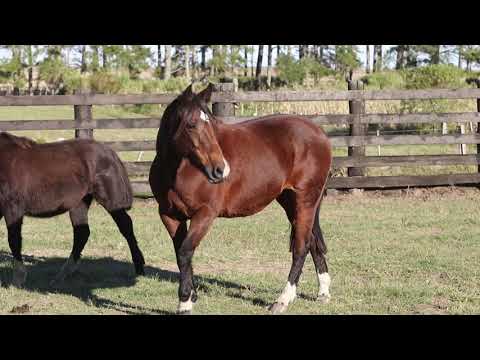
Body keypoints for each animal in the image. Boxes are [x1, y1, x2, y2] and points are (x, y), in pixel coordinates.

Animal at [0, 132, 145, 286]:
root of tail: (110, 152)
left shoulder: (12, 208)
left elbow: (14, 240)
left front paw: (18, 279)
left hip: (110, 202)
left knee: (126, 226)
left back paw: (139, 267)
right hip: (79, 203)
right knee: (82, 233)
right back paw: (63, 274)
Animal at [150, 83, 334, 312]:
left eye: (211, 124)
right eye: (191, 124)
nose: (220, 170)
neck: (178, 170)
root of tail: (319, 133)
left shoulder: (205, 214)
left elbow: (185, 251)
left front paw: (184, 303)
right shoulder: (170, 216)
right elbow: (180, 253)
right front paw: (191, 295)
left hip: (305, 200)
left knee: (301, 246)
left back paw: (283, 299)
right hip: (291, 202)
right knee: (313, 242)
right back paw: (323, 292)